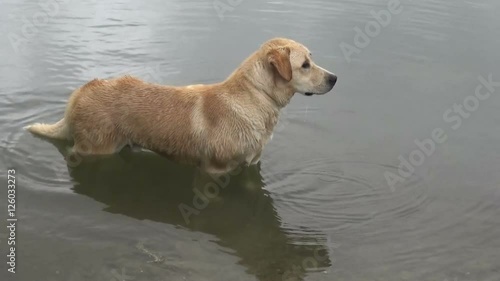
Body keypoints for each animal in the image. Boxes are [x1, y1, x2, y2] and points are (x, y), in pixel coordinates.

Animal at [25, 37, 338, 173]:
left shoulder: (251, 165)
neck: (255, 96)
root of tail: (81, 92)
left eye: (311, 59)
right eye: (305, 65)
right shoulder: (214, 170)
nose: (335, 78)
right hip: (97, 149)